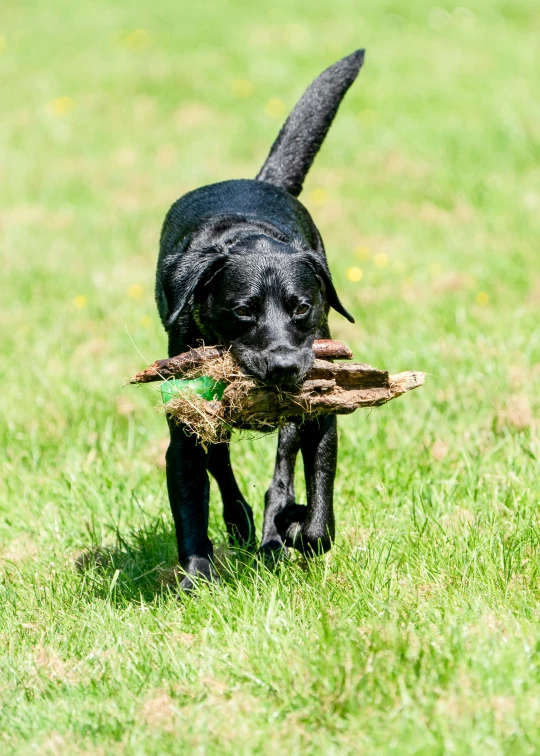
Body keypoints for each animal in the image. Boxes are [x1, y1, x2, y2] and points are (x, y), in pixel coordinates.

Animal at [156, 48, 368, 592]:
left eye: (302, 307)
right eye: (243, 310)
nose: (284, 367)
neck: (248, 237)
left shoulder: (320, 415)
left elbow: (319, 518)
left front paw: (297, 528)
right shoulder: (184, 435)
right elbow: (190, 505)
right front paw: (196, 576)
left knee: (281, 469)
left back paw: (277, 527)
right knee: (223, 465)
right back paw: (243, 523)